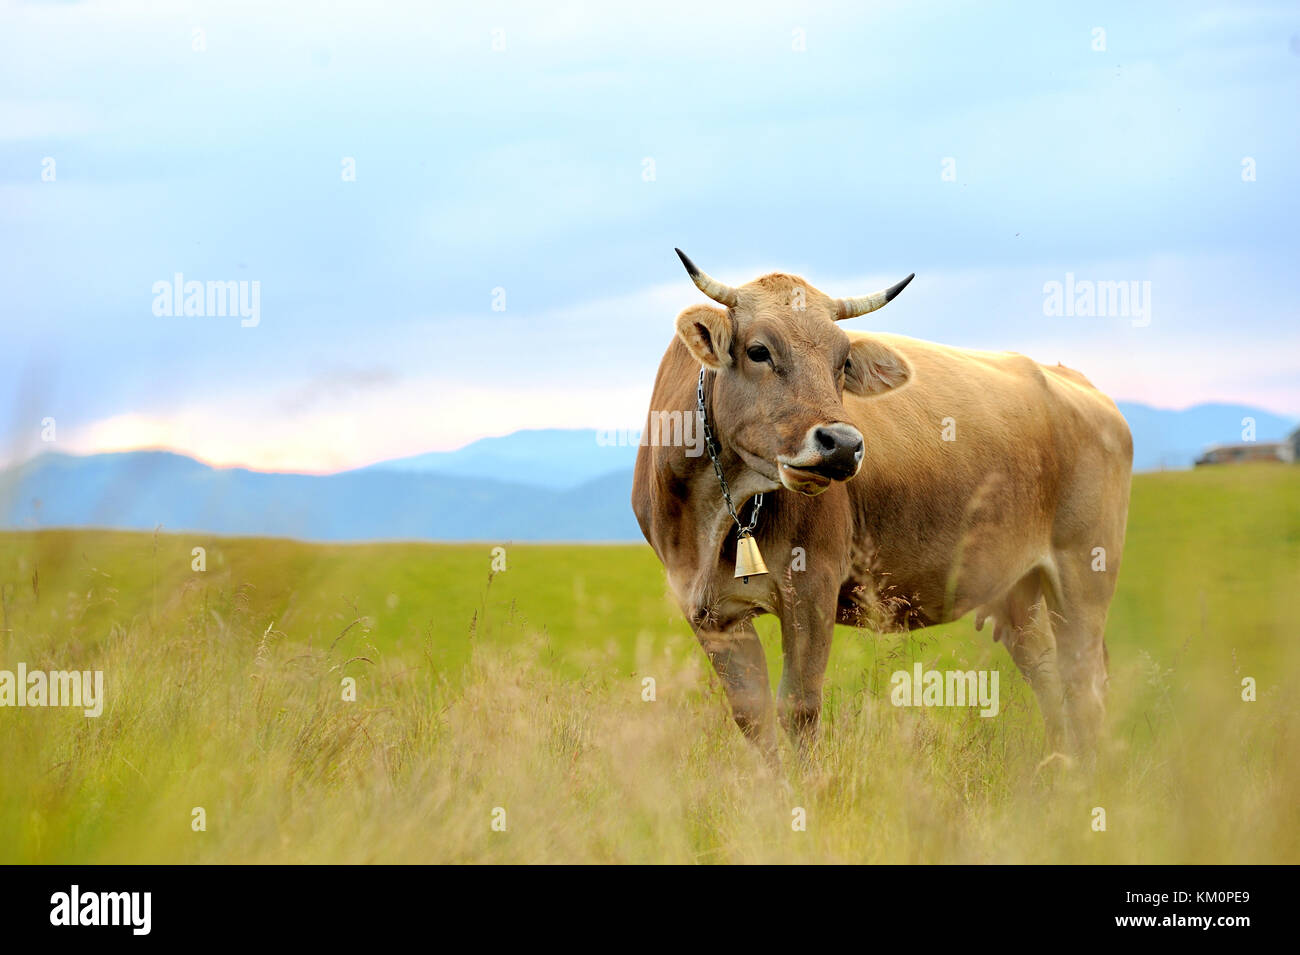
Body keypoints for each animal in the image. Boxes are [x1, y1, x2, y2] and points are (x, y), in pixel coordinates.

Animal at [631, 250, 1132, 770]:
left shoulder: (812, 587)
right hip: (1019, 590)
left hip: (1084, 575)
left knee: (1084, 687)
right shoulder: (709, 613)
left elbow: (799, 708)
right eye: (758, 351)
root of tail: (1080, 385)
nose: (841, 445)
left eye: (843, 361)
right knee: (1049, 677)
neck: (716, 513)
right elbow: (754, 719)